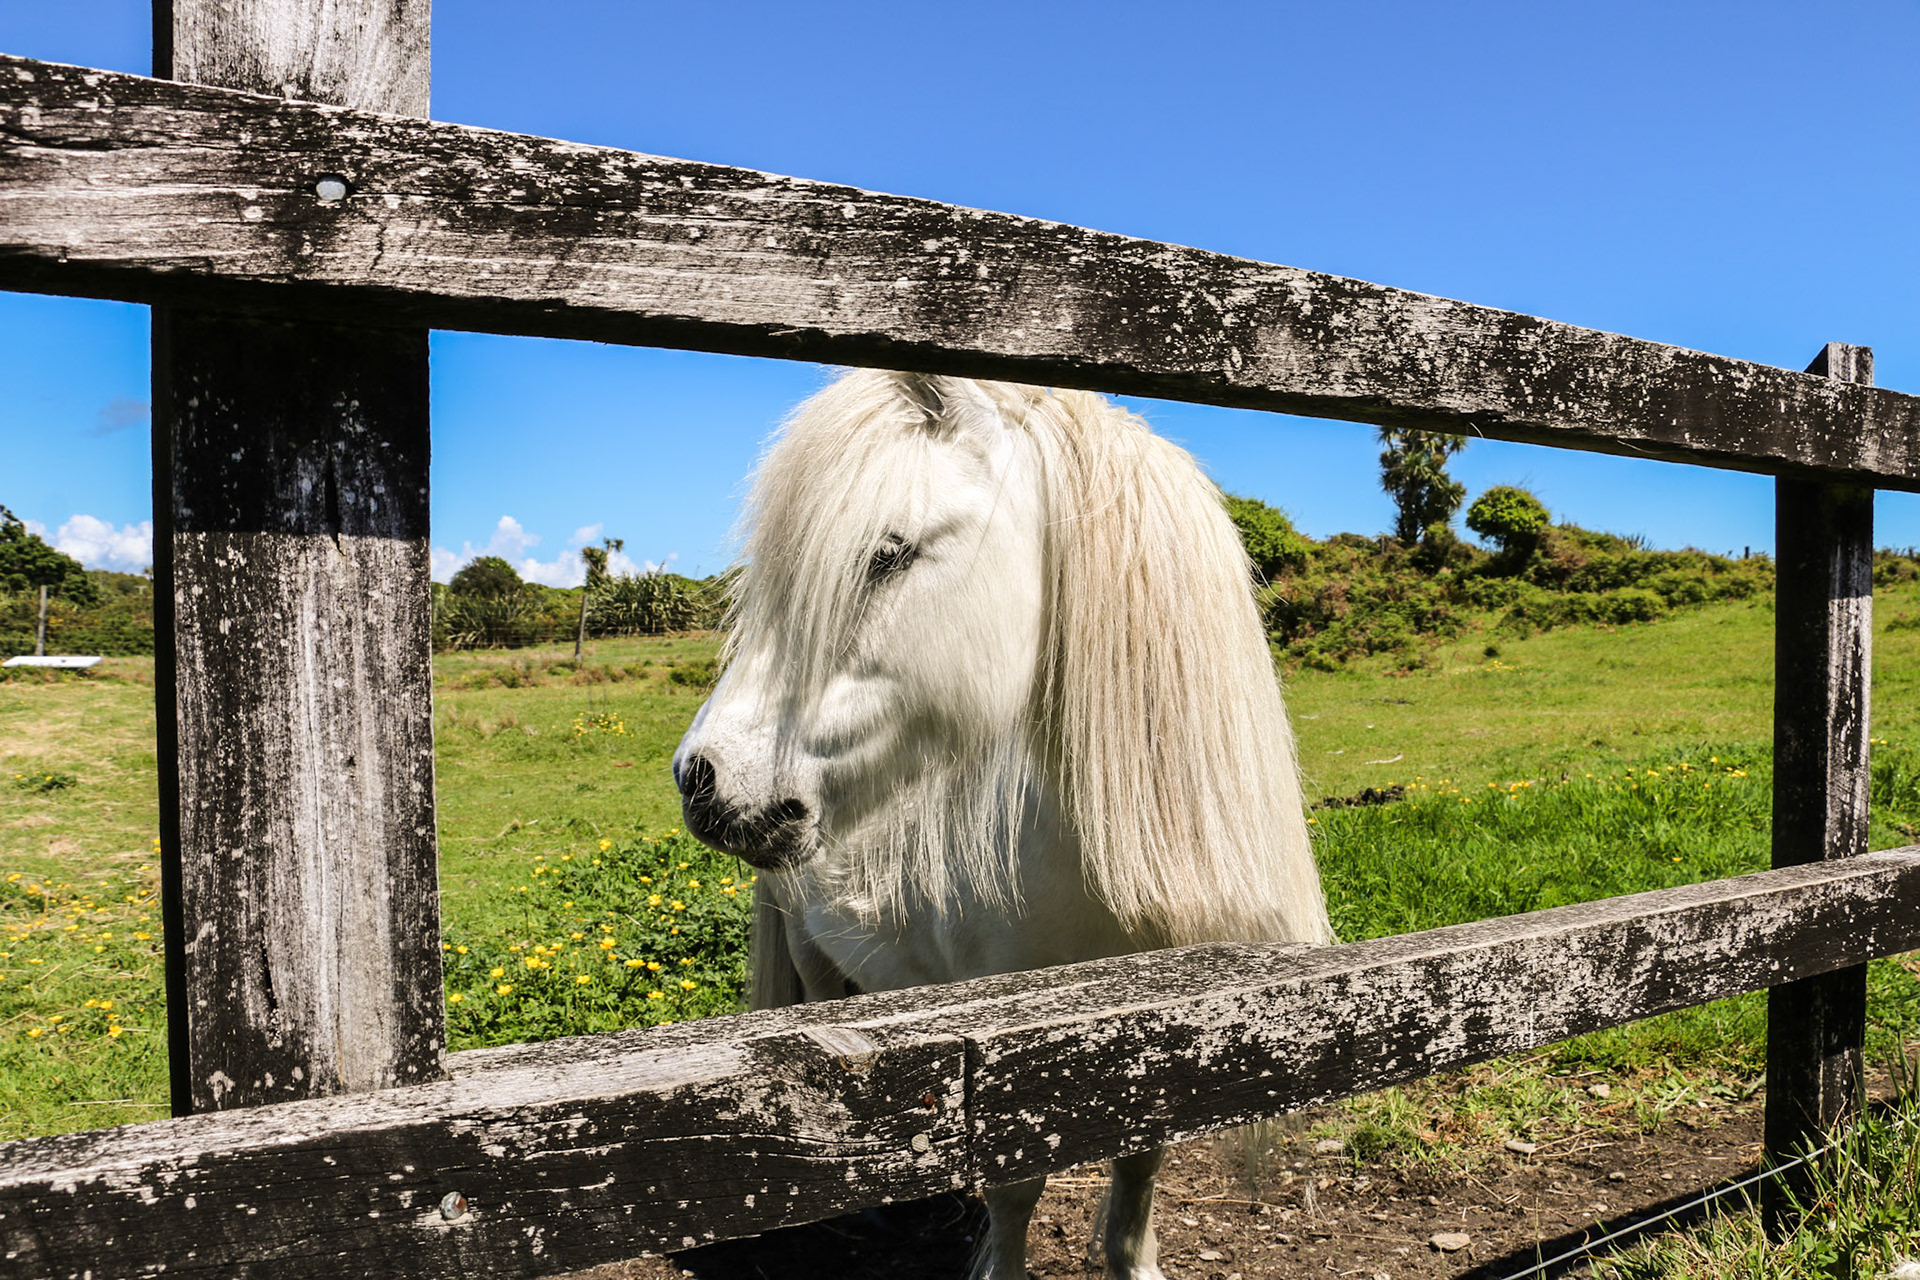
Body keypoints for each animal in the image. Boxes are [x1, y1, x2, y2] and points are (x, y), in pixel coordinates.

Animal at [673, 369, 1330, 1280]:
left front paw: (1133, 1260)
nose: (701, 777)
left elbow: (1144, 1158)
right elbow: (1017, 1186)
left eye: (888, 553)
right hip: (810, 960)